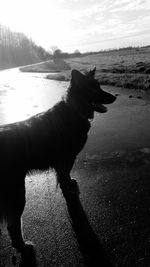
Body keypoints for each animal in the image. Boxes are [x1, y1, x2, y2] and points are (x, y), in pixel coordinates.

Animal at [0, 67, 116, 255]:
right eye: (94, 89)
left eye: (99, 86)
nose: (114, 97)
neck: (74, 109)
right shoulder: (66, 159)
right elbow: (64, 177)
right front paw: (69, 190)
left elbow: (64, 177)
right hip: (17, 192)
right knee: (13, 225)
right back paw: (23, 247)